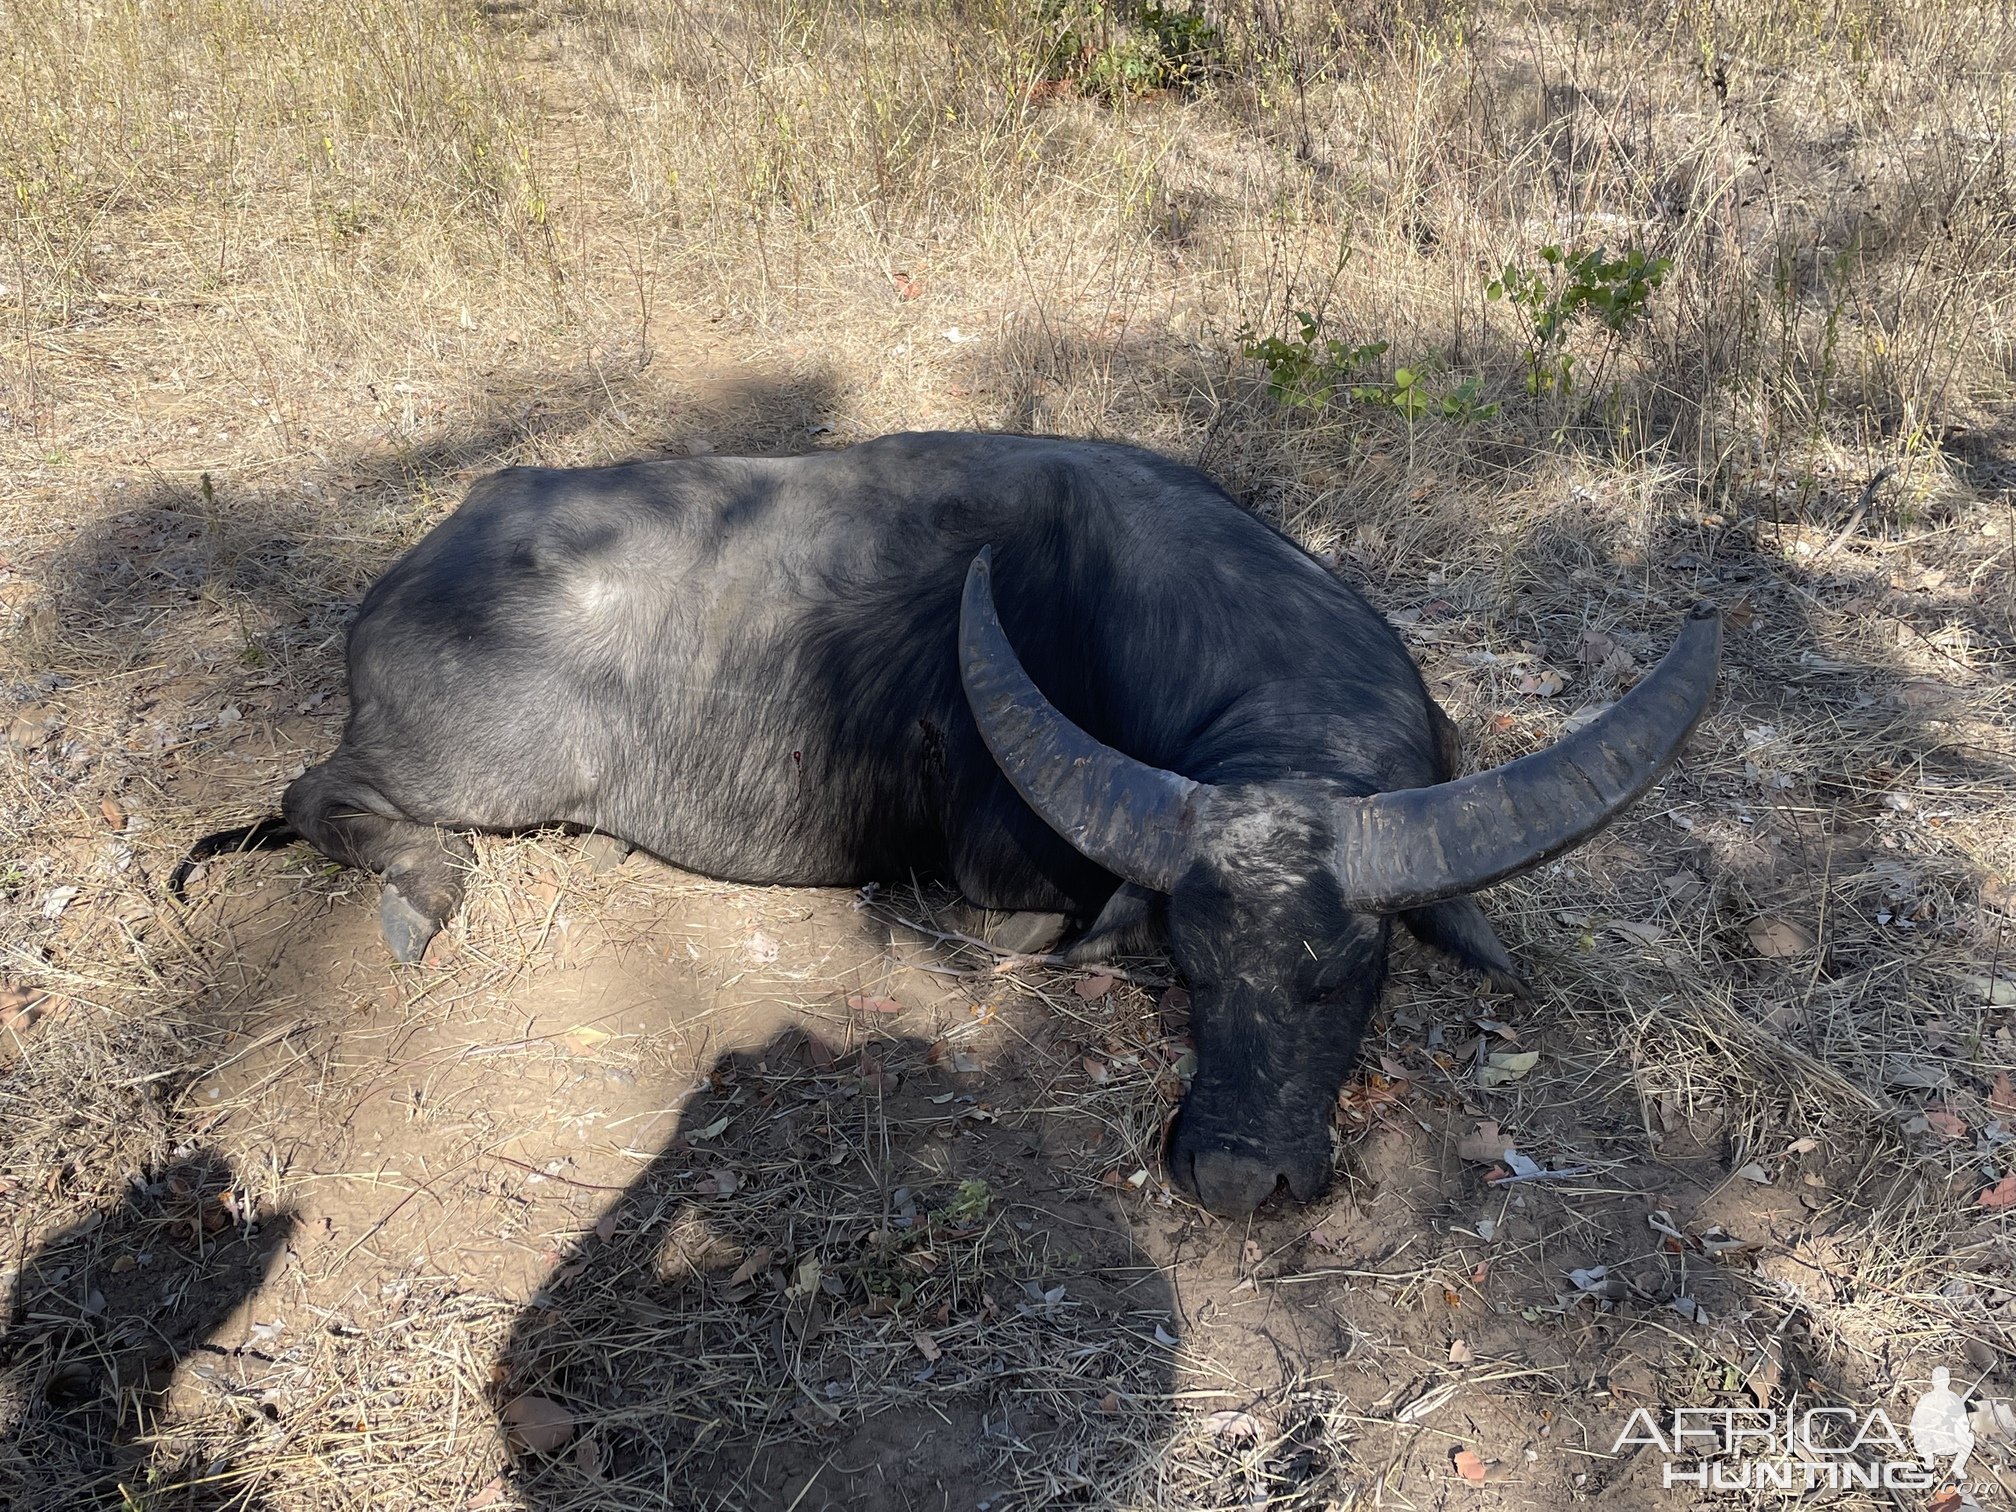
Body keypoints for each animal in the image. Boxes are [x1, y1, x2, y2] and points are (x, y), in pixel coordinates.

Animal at [177, 435, 1717, 1217]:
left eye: (1348, 975)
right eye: (1187, 967)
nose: (1234, 1176)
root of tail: (398, 588)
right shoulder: (997, 858)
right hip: (465, 771)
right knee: (316, 798)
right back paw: (421, 888)